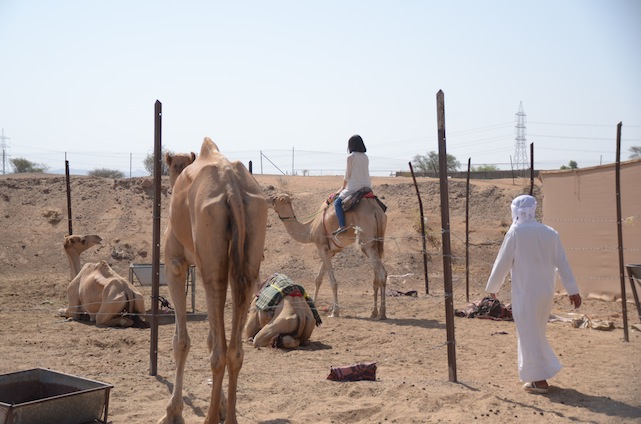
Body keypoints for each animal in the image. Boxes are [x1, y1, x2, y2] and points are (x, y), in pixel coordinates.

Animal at [160, 137, 270, 424]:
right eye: (172, 166)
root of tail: (232, 187)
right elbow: (210, 336)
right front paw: (220, 406)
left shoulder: (175, 264)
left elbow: (181, 341)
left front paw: (172, 412)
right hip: (248, 259)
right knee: (234, 351)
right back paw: (229, 417)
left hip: (211, 262)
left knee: (218, 352)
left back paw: (209, 418)